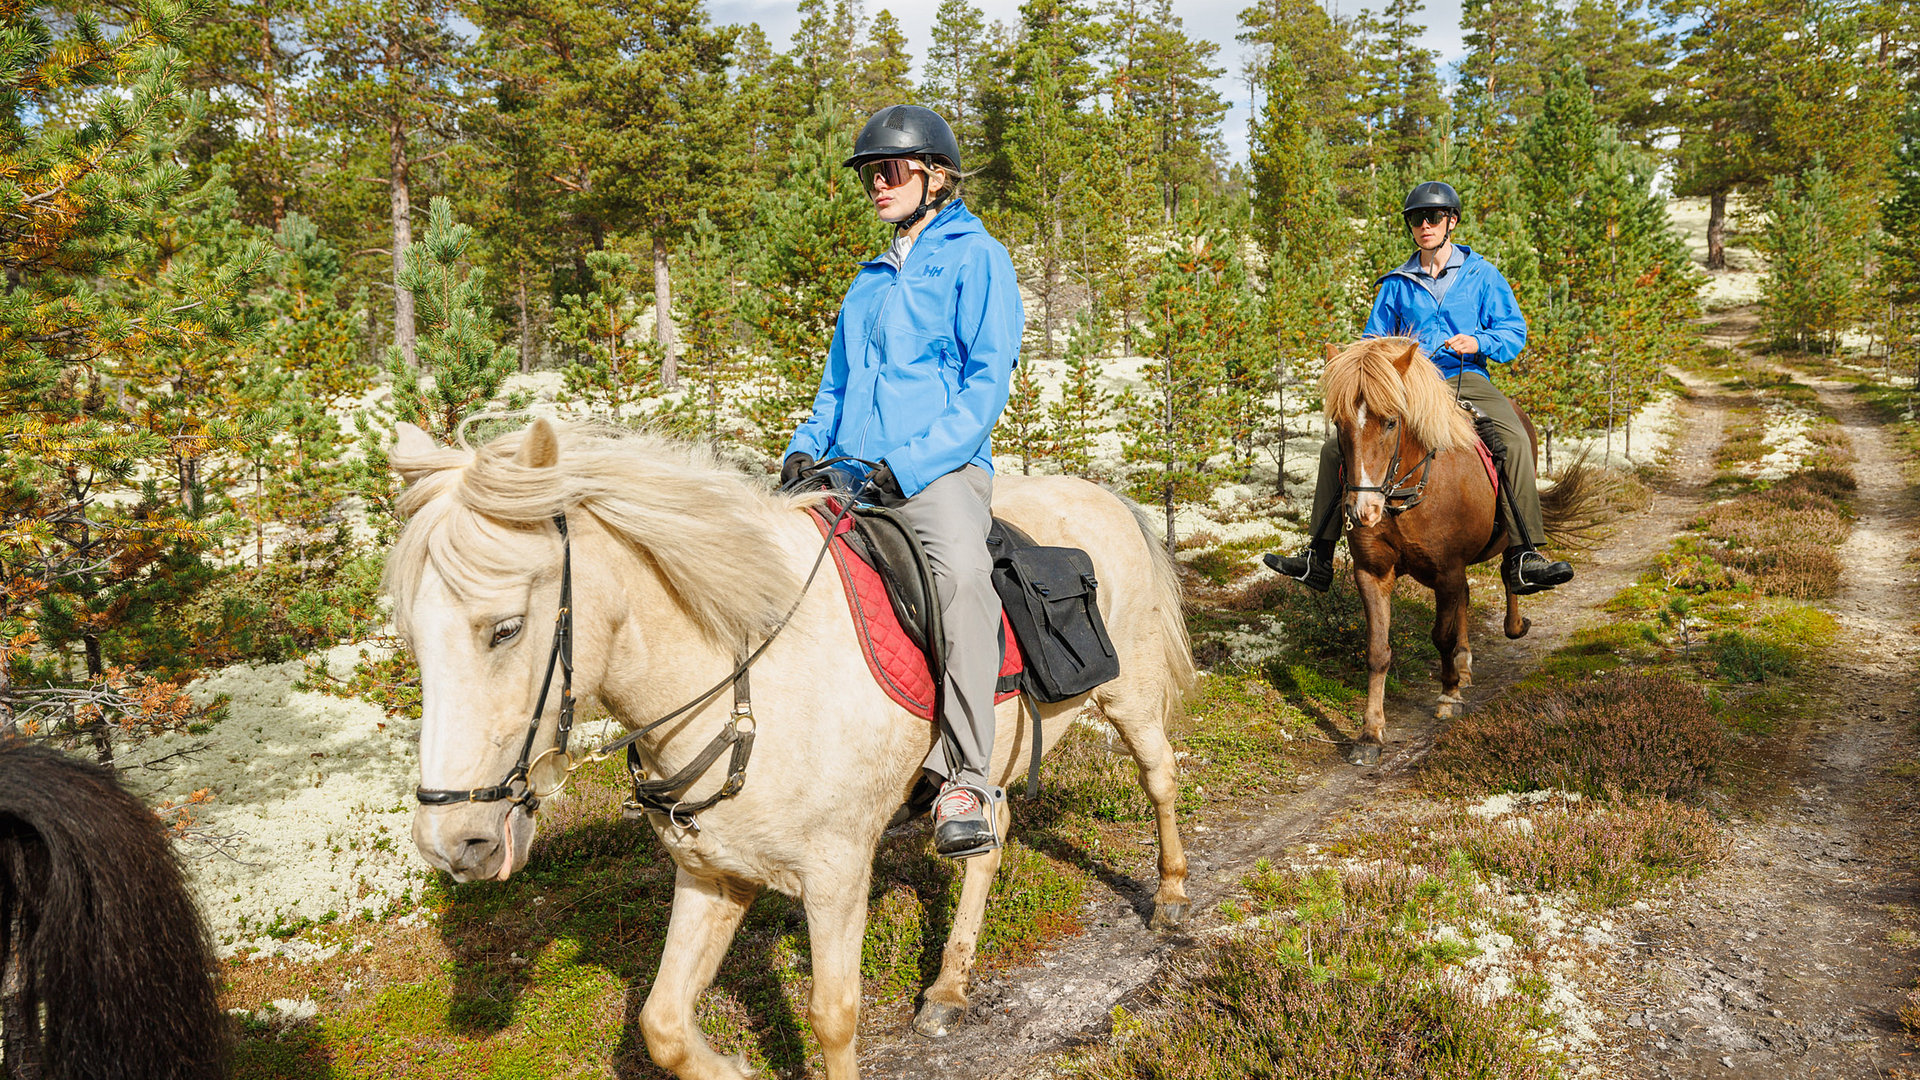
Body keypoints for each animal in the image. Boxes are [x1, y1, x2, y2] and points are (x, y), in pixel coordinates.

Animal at [389, 418, 1190, 1076]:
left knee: (1160, 782)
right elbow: (663, 1026)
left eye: (506, 628)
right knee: (988, 842)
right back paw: (949, 986)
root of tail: (1110, 498)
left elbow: (833, 1018)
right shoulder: (711, 872)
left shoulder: (836, 874)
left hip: (1132, 700)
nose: (452, 844)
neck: (746, 678)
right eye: (413, 637)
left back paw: (1173, 897)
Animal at [1320, 336, 1605, 764]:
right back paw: (1466, 663)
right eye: (1340, 424)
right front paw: (1370, 734)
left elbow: (1441, 635)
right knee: (1467, 600)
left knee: (1508, 574)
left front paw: (1449, 695)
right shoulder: (1373, 573)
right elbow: (1378, 650)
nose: (1363, 511)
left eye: (1391, 422)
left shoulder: (1446, 572)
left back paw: (1513, 621)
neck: (1406, 494)